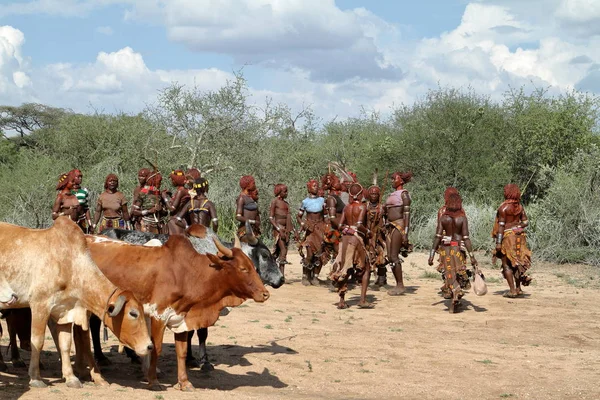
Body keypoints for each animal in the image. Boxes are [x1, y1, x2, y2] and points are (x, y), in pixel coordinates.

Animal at [0, 217, 154, 390]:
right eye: (133, 313)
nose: (149, 346)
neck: (69, 264)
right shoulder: (40, 306)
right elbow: (37, 342)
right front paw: (35, 377)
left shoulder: (65, 312)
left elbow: (65, 345)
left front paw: (71, 377)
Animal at [75, 228, 270, 390]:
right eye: (243, 268)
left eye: (253, 266)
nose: (265, 294)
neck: (187, 273)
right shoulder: (158, 315)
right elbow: (156, 349)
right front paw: (153, 381)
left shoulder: (181, 317)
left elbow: (182, 352)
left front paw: (184, 382)